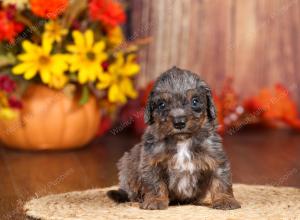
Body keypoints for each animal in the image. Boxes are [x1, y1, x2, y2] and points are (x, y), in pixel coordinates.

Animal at [106, 66, 240, 210]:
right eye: (162, 104)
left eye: (195, 101)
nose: (179, 122)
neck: (182, 141)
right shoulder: (151, 162)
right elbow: (155, 183)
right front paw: (155, 200)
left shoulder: (216, 159)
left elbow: (221, 181)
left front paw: (225, 200)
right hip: (127, 165)